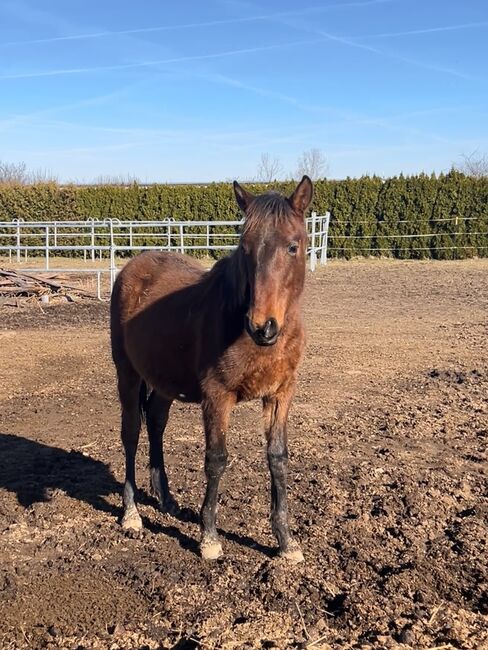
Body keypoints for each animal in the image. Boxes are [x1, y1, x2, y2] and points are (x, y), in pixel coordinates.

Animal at [110, 175, 312, 560]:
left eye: (293, 247)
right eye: (245, 248)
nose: (262, 326)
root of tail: (133, 266)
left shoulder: (281, 393)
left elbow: (278, 457)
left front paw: (286, 541)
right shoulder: (217, 396)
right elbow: (216, 459)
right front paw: (209, 537)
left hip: (164, 380)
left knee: (156, 422)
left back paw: (166, 499)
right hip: (127, 374)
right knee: (131, 432)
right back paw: (131, 514)